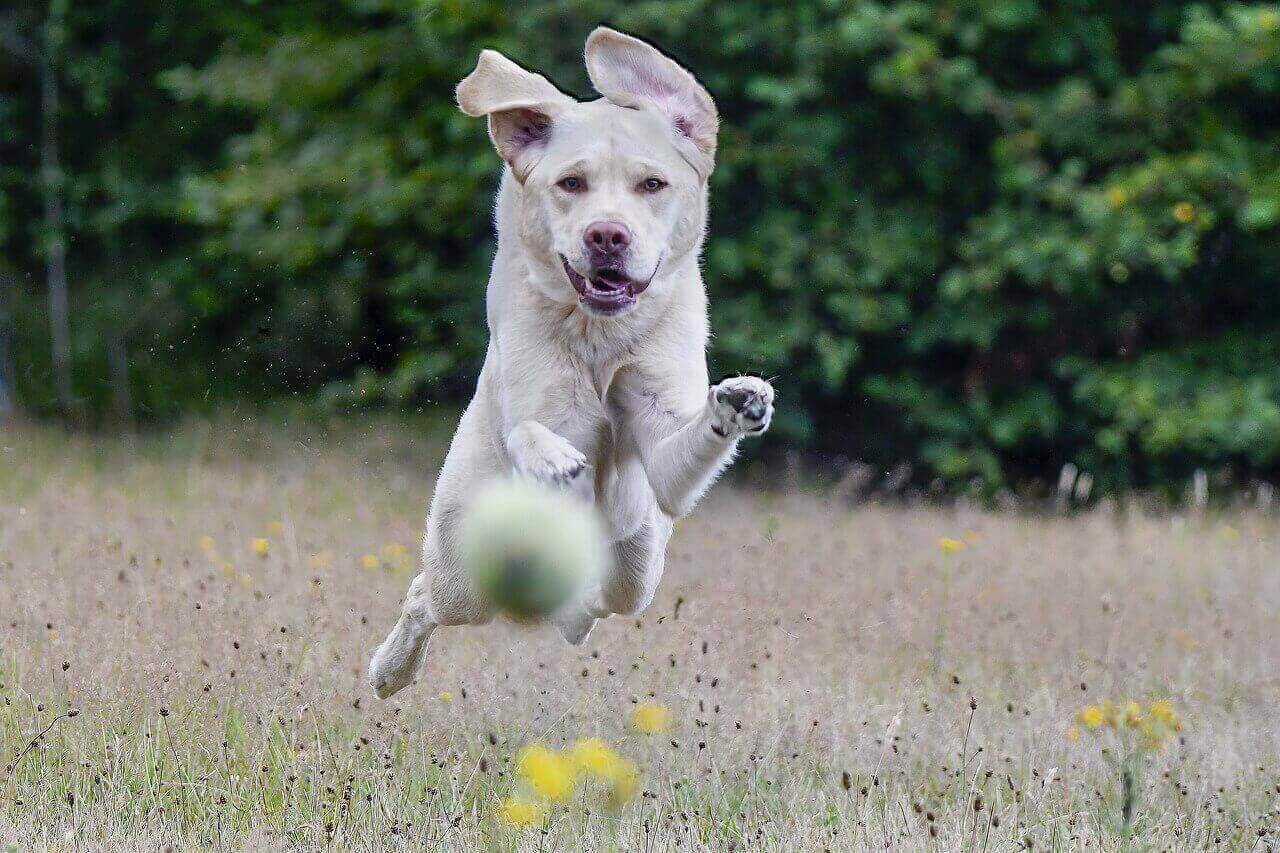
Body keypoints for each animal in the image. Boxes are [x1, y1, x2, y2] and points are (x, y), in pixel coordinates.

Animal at [366, 28, 773, 696]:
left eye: (652, 185)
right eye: (571, 184)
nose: (606, 235)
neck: (601, 335)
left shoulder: (662, 455)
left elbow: (680, 444)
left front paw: (738, 402)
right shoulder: (538, 397)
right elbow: (531, 428)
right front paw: (553, 456)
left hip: (637, 561)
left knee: (602, 600)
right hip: (463, 568)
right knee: (426, 595)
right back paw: (389, 671)